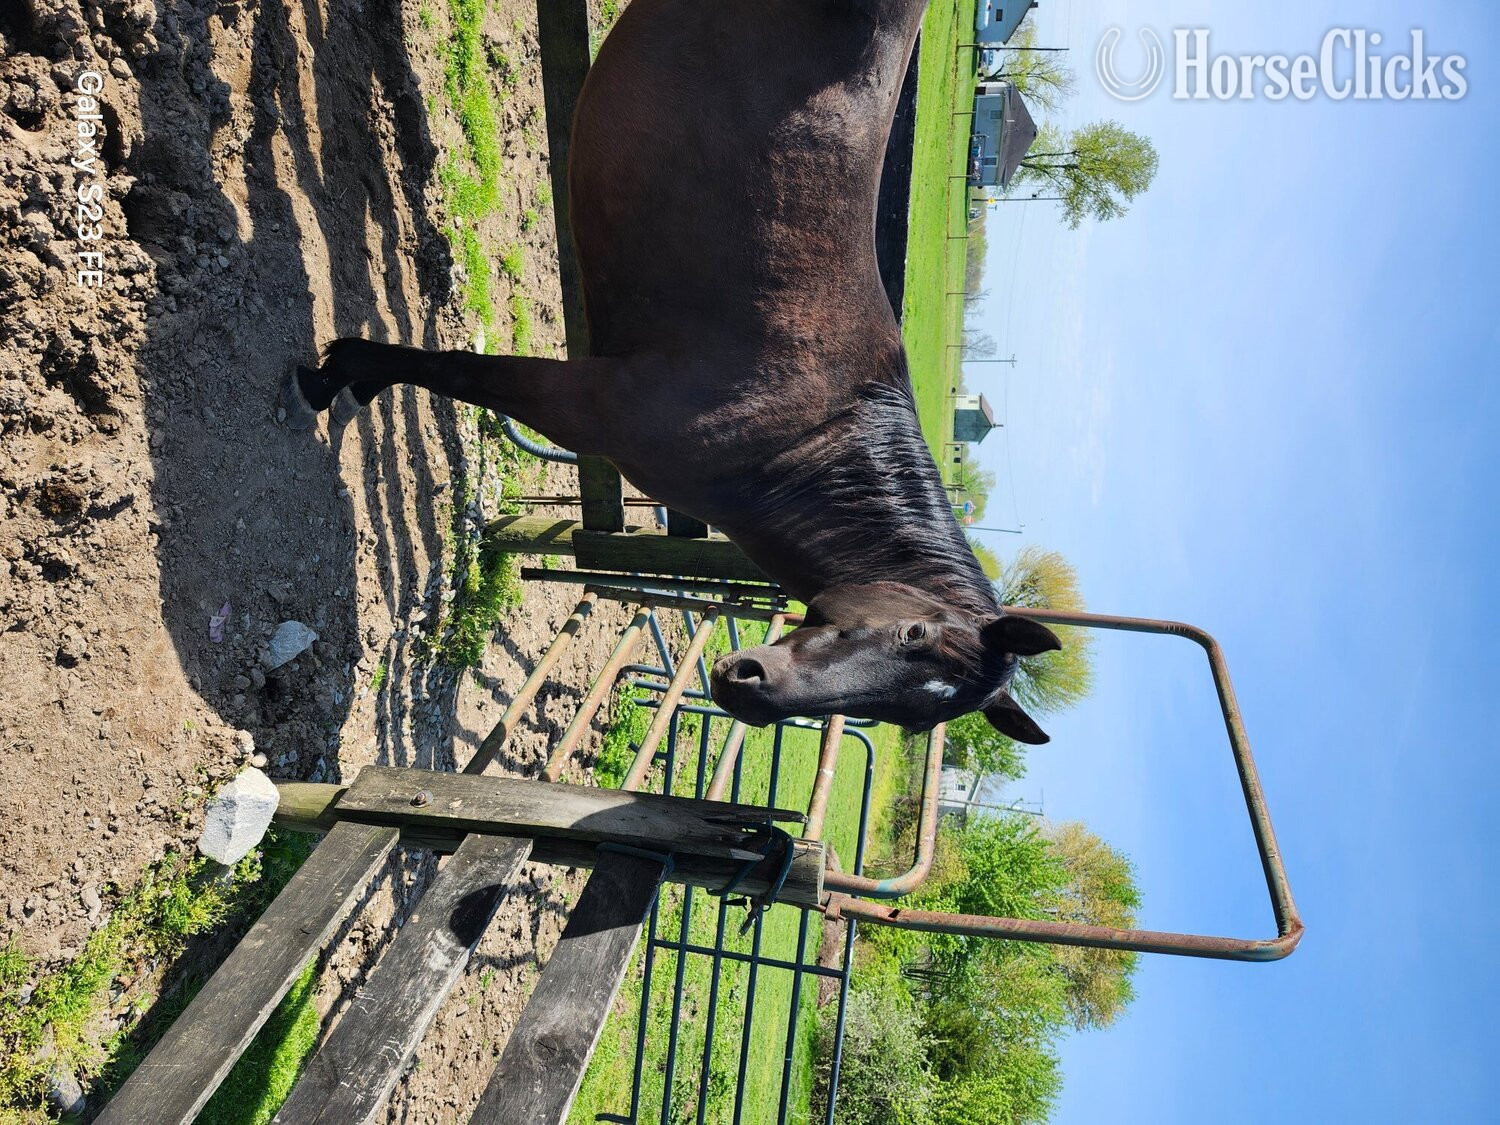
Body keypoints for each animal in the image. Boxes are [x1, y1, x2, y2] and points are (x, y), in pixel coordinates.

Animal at [281, 0, 1062, 741]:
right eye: (912, 633)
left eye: (912, 717)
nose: (749, 691)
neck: (800, 434)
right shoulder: (587, 400)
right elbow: (458, 373)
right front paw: (341, 372)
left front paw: (350, 376)